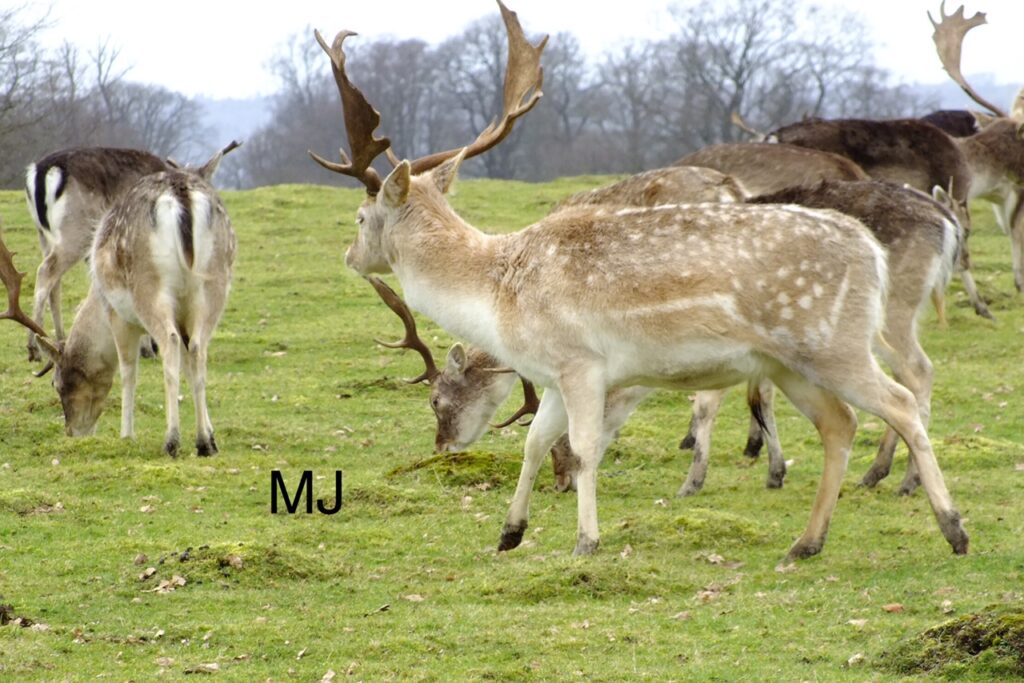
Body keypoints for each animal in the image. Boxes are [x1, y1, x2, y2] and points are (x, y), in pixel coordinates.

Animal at [24, 147, 174, 366]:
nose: (155, 346)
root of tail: (42, 170)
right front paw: (146, 347)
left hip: (44, 235)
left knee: (54, 282)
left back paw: (57, 338)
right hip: (76, 231)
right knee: (46, 271)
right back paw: (33, 347)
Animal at [311, 1, 968, 560]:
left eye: (361, 217)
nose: (348, 254)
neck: (498, 295)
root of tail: (871, 252)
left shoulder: (582, 364)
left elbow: (582, 449)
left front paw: (585, 541)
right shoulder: (556, 375)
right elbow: (533, 442)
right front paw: (509, 533)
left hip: (836, 342)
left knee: (901, 399)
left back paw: (949, 526)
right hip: (789, 363)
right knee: (841, 422)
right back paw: (806, 542)